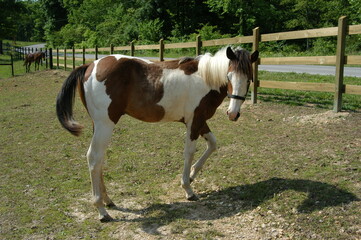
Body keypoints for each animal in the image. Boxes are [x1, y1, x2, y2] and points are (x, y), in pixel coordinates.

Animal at [55, 46, 258, 222]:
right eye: (229, 76)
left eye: (249, 79)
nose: (233, 114)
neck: (204, 77)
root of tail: (90, 66)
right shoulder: (194, 122)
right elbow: (189, 152)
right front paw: (188, 188)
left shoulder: (199, 122)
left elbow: (213, 144)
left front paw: (192, 174)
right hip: (105, 124)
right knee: (94, 157)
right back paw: (101, 210)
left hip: (99, 125)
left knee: (99, 160)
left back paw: (108, 201)